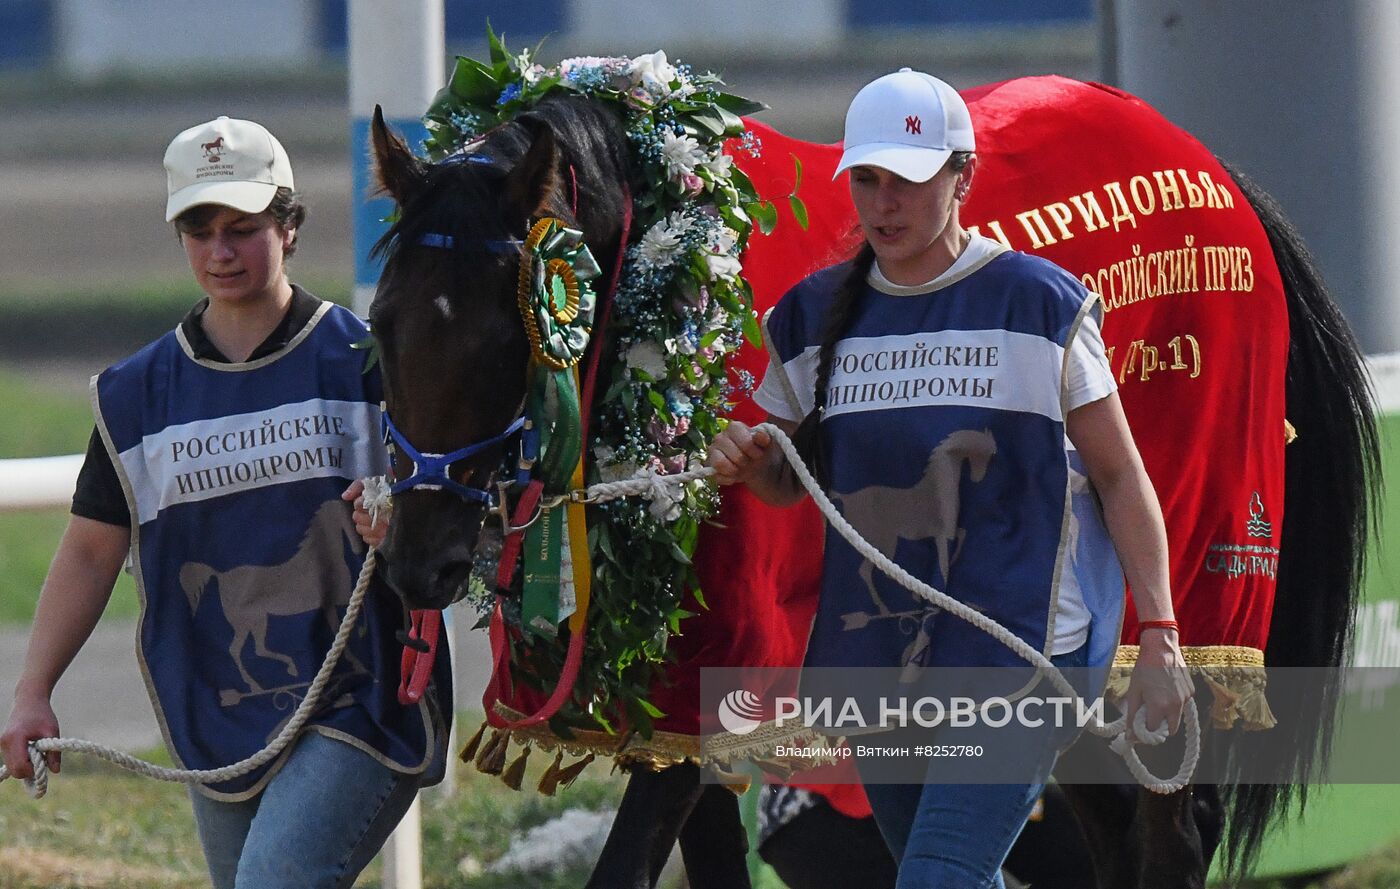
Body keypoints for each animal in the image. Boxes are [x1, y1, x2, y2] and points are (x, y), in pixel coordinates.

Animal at [366, 73, 1372, 884]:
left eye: (507, 339)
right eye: (380, 322)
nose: (418, 562)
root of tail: (1219, 176)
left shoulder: (725, 664)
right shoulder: (670, 702)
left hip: (1190, 581)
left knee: (1171, 829)